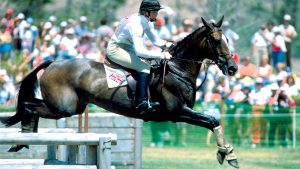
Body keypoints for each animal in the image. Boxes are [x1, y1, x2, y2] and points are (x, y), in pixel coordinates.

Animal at [1, 16, 238, 168]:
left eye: (228, 39)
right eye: (216, 40)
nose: (233, 68)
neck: (177, 68)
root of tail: (52, 63)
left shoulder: (180, 113)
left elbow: (212, 121)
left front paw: (227, 153)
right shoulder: (177, 112)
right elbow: (213, 120)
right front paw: (228, 155)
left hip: (72, 107)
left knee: (30, 106)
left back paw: (22, 140)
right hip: (62, 108)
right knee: (29, 106)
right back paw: (21, 139)